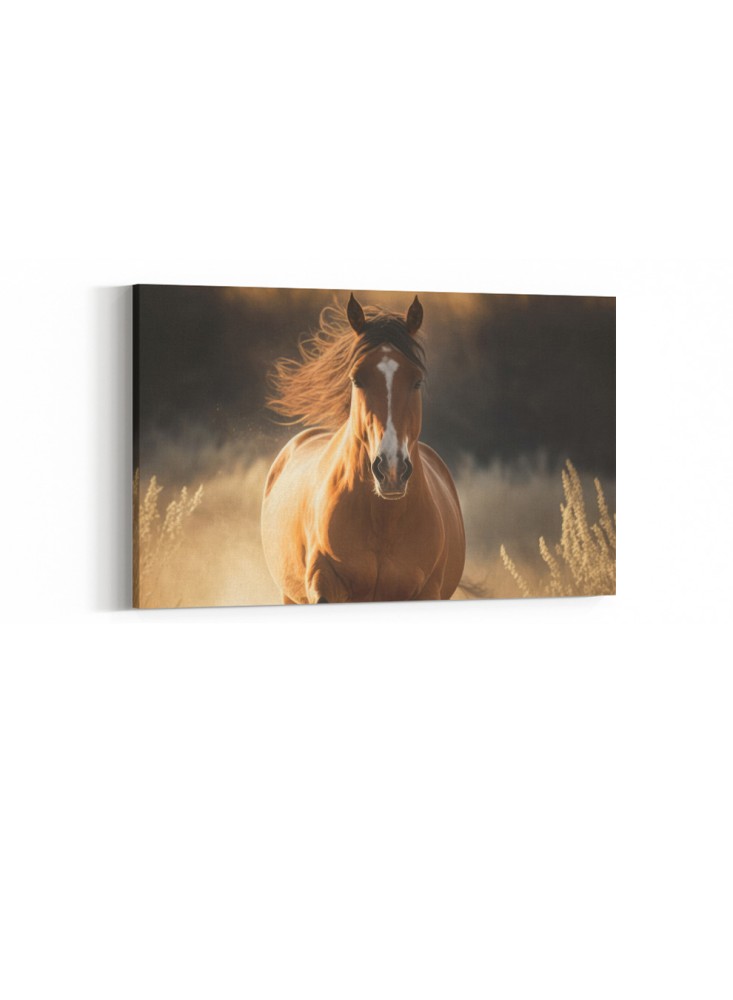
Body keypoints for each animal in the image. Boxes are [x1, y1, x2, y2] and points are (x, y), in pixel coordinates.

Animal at [261, 294, 466, 603]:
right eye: (357, 379)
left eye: (417, 380)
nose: (391, 470)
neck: (383, 520)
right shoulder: (323, 582)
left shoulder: (427, 592)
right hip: (288, 596)